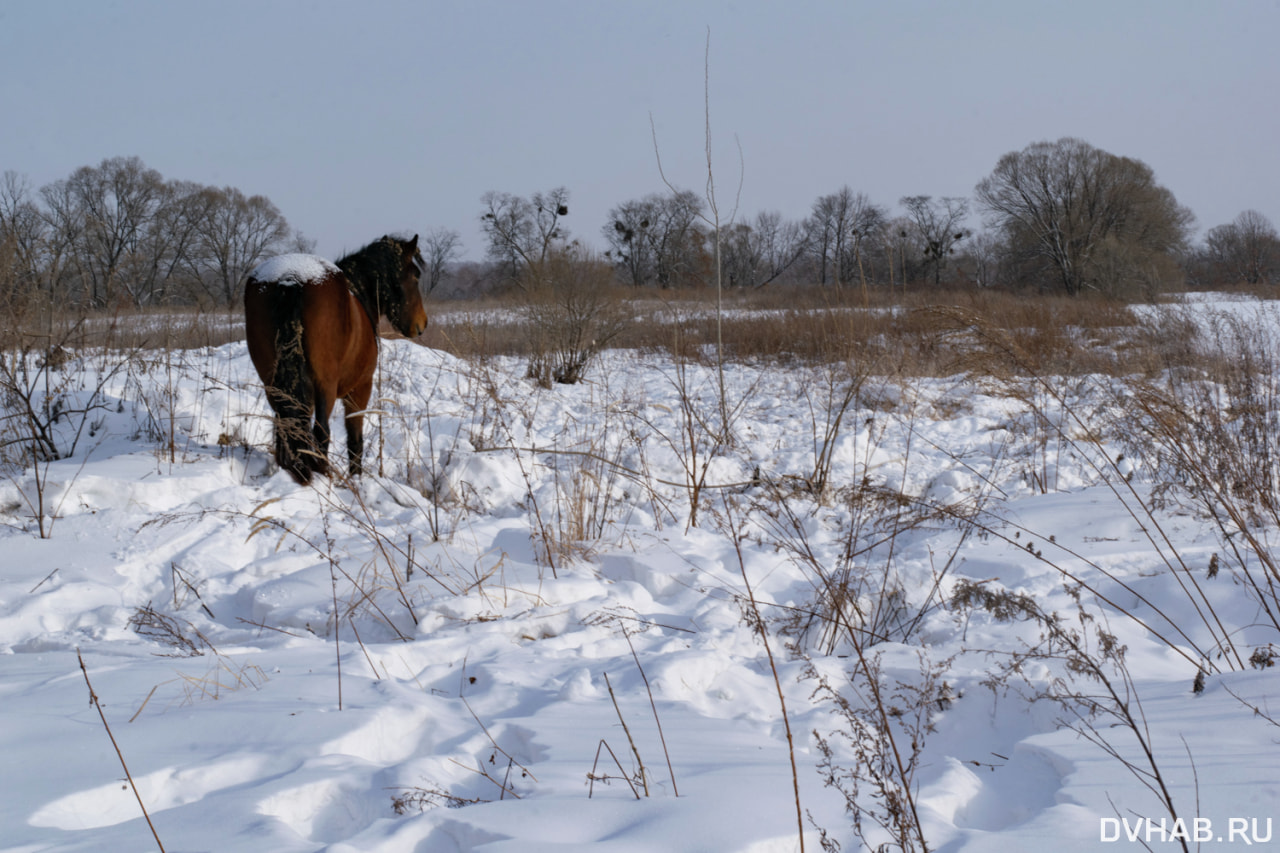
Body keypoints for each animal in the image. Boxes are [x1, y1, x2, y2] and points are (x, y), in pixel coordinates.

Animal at [244, 233, 430, 484]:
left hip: (272, 383)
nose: (422, 324)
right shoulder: (360, 390)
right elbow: (355, 441)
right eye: (416, 275)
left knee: (287, 427)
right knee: (321, 432)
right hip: (326, 386)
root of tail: (290, 278)